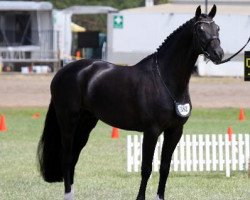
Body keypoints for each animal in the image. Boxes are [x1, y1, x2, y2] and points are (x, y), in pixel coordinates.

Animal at [37, 5, 225, 200]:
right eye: (200, 29)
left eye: (217, 28)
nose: (218, 54)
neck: (165, 80)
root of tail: (62, 72)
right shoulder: (151, 131)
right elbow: (146, 168)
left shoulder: (175, 131)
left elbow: (165, 167)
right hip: (68, 121)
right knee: (66, 157)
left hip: (86, 123)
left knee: (73, 157)